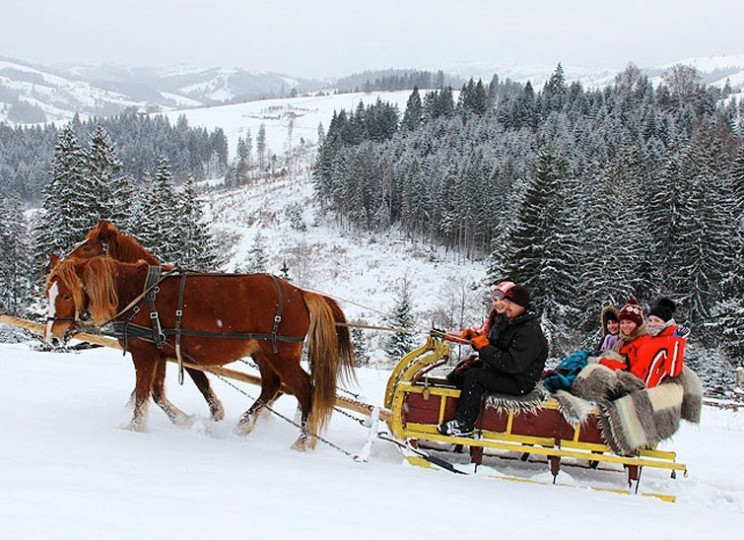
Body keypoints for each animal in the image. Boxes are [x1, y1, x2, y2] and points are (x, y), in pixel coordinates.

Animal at [44, 255, 358, 450]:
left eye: (67, 294)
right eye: (48, 292)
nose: (53, 334)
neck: (137, 292)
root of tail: (302, 294)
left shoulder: (144, 352)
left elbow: (143, 395)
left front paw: (135, 429)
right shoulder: (160, 353)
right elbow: (157, 394)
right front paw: (184, 421)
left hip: (281, 354)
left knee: (305, 390)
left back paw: (302, 441)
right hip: (263, 353)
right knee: (272, 385)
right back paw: (244, 425)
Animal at [64, 221, 224, 424]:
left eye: (87, 247)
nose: (62, 264)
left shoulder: (179, 350)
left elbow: (200, 381)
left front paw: (215, 413)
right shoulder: (159, 349)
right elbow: (154, 390)